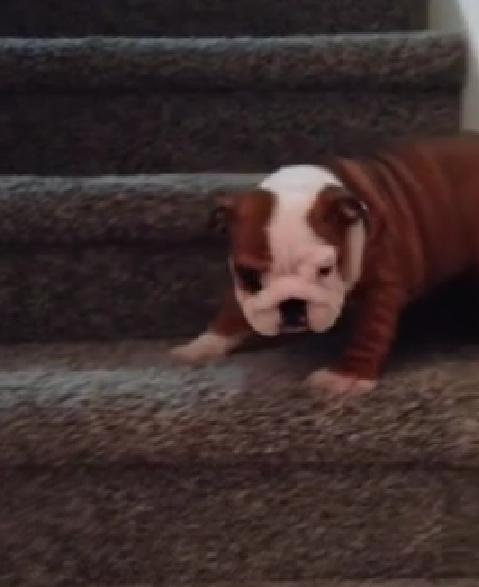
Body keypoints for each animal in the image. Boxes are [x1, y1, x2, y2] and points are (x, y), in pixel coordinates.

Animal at [174, 135, 479, 392]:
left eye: (325, 270)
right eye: (249, 276)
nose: (292, 305)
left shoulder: (382, 286)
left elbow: (370, 331)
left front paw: (346, 376)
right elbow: (233, 310)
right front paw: (204, 344)